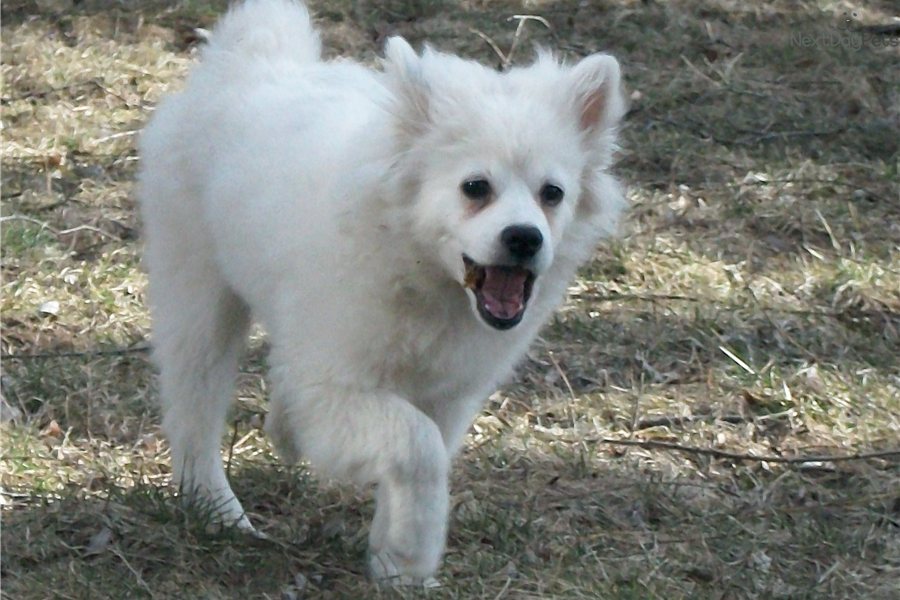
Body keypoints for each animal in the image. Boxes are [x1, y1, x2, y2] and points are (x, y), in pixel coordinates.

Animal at [139, 0, 624, 584]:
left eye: (552, 194)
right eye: (475, 188)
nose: (525, 238)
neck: (419, 269)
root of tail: (246, 61)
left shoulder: (445, 397)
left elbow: (419, 455)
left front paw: (396, 565)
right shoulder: (335, 388)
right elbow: (418, 450)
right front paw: (414, 548)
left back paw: (280, 434)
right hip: (198, 297)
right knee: (195, 407)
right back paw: (216, 511)